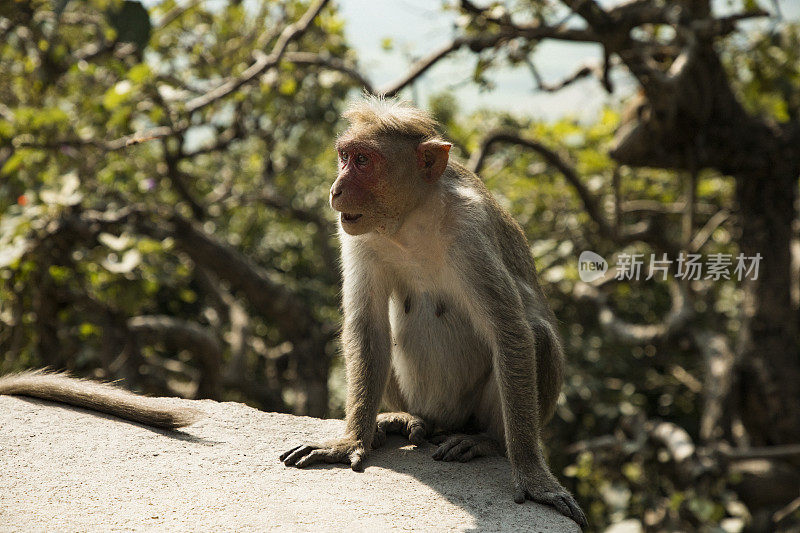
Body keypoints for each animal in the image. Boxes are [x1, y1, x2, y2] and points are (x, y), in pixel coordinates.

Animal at [282, 96, 588, 528]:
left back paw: (486, 440)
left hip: (471, 410)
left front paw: (533, 476)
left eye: (363, 161)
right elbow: (368, 327)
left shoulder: (471, 233)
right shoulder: (357, 234)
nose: (336, 189)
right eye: (344, 157)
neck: (411, 219)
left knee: (536, 335)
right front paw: (350, 441)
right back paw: (403, 419)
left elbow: (510, 331)